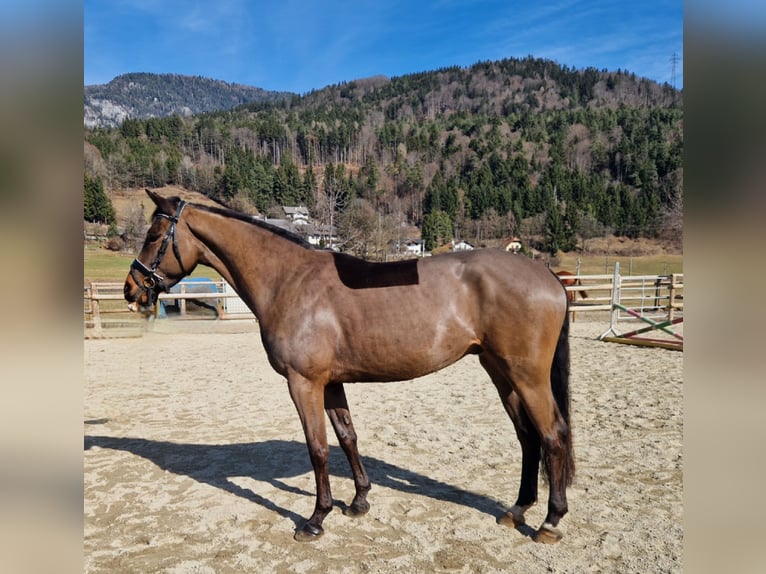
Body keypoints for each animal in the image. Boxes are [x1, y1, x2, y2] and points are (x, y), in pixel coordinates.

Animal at [124, 189, 575, 544]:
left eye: (153, 236)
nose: (131, 288)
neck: (289, 280)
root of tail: (549, 276)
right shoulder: (331, 383)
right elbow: (347, 437)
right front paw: (358, 501)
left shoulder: (304, 383)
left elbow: (318, 448)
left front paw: (315, 519)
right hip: (501, 373)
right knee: (527, 437)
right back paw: (517, 510)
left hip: (527, 377)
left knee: (551, 435)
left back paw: (550, 522)